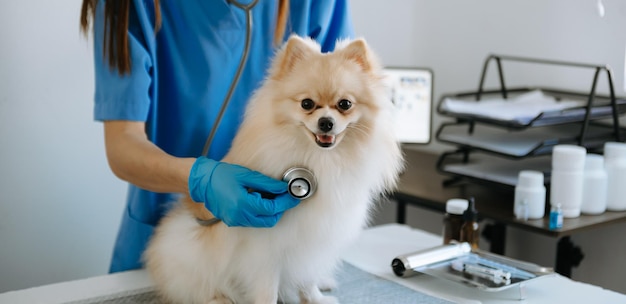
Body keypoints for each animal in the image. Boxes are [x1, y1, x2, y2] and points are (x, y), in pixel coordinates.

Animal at [144, 36, 402, 304]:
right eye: (307, 104)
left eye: (345, 104)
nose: (326, 122)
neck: (320, 159)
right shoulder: (265, 251)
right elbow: (267, 290)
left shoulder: (312, 244)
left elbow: (308, 279)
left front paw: (316, 298)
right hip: (186, 251)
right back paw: (219, 298)